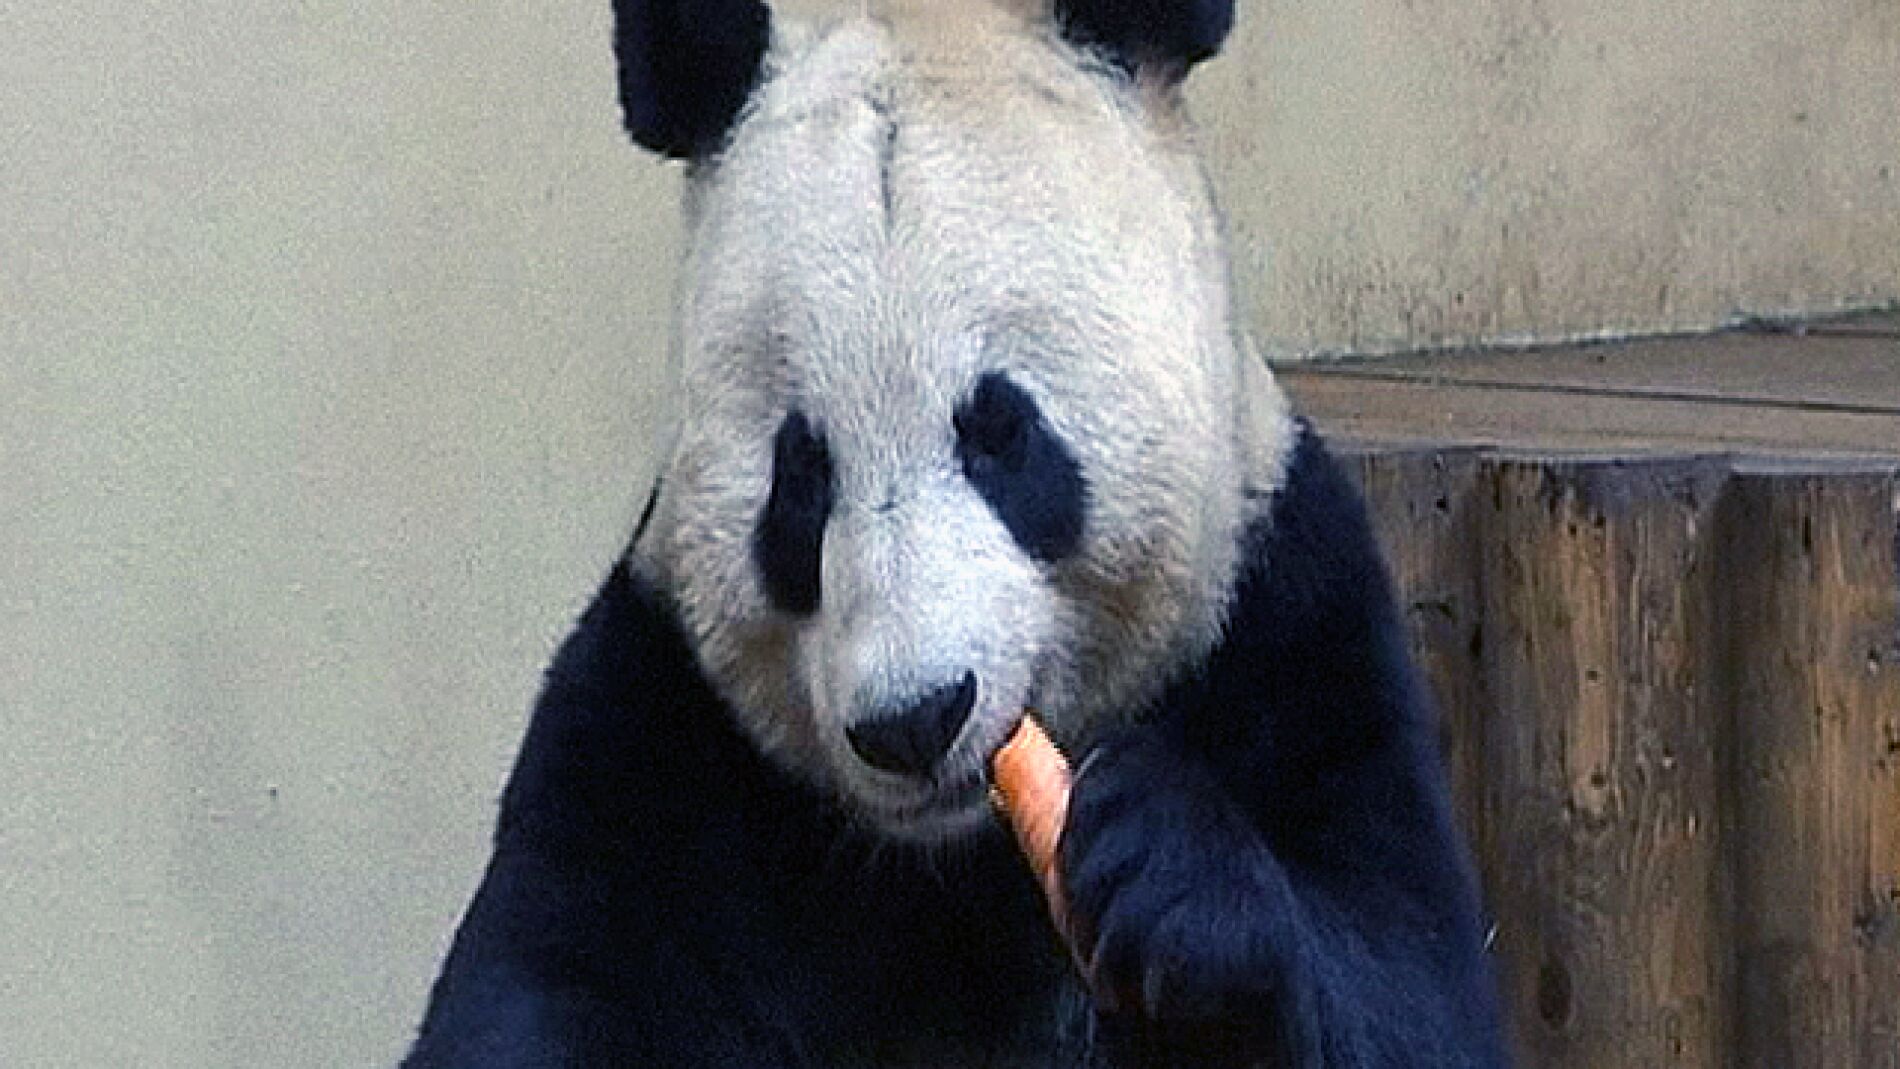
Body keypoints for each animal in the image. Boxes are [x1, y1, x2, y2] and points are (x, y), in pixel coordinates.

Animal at [403, 1, 1508, 1065]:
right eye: (800, 476)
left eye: (1000, 433)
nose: (915, 719)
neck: (958, 860)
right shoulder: (664, 730)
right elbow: (549, 976)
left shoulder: (1288, 622)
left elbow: (1413, 985)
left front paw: (1163, 868)